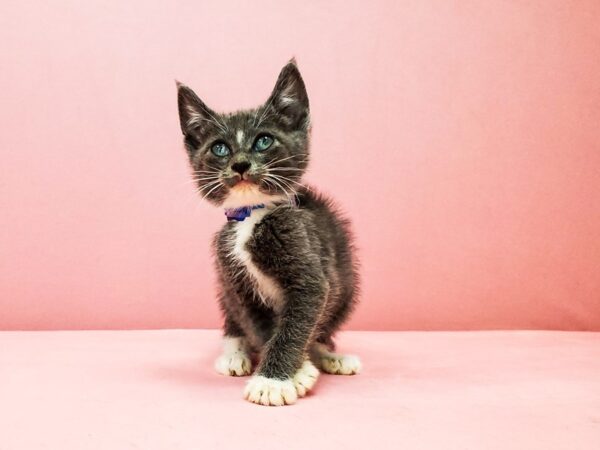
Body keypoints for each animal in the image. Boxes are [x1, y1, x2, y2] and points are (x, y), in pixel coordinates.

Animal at [176, 59, 358, 408]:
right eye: (220, 148)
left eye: (263, 141)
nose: (240, 164)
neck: (252, 214)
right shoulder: (236, 279)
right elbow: (262, 328)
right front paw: (292, 373)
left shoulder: (310, 272)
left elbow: (297, 324)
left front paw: (276, 380)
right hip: (224, 286)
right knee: (233, 319)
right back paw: (235, 353)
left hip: (348, 283)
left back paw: (331, 356)